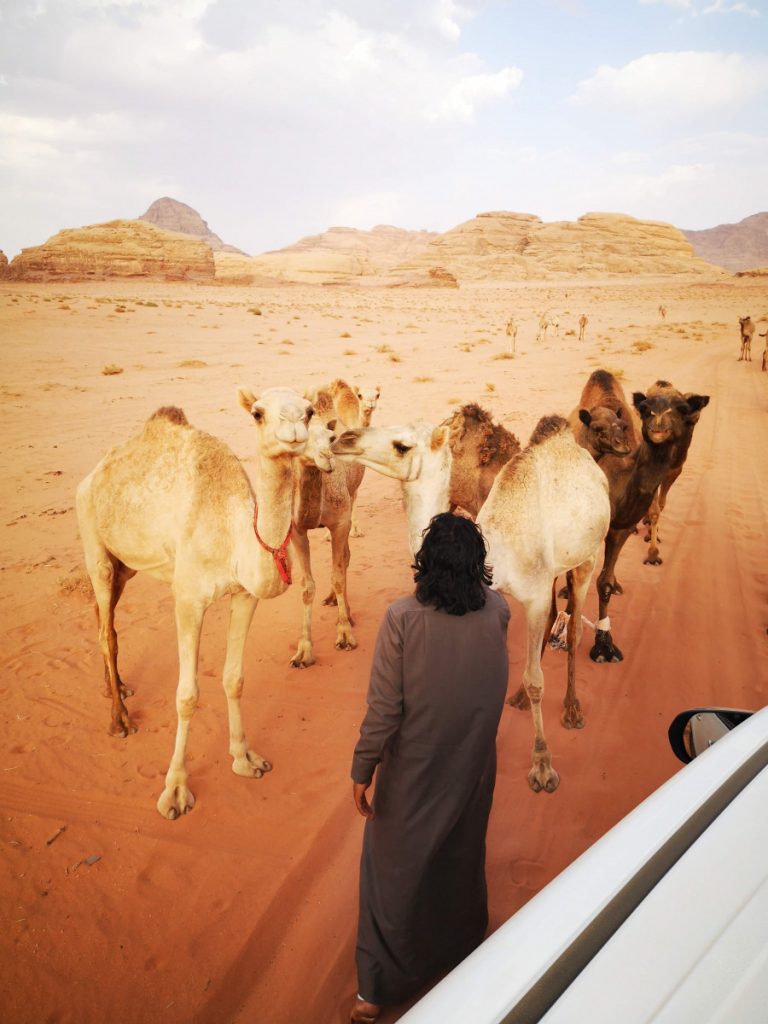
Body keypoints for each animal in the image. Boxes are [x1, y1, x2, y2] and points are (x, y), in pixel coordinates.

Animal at [77, 387, 315, 819]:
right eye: (257, 413)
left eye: (310, 410)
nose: (293, 430)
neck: (233, 531)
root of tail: (91, 476)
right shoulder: (188, 599)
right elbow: (186, 697)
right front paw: (174, 791)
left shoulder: (244, 595)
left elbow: (234, 679)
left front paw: (244, 759)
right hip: (93, 541)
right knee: (106, 630)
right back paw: (119, 721)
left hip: (125, 565)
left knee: (105, 618)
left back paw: (115, 687)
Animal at [290, 387, 364, 667]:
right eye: (300, 439)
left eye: (331, 437)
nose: (328, 456)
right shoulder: (296, 530)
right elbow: (307, 586)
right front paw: (303, 651)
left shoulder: (341, 522)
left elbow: (339, 573)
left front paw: (345, 634)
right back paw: (333, 600)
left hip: (352, 496)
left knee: (344, 560)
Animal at [638, 380, 712, 569]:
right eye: (647, 408)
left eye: (683, 409)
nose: (658, 424)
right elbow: (655, 510)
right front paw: (653, 554)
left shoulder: (675, 470)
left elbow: (661, 505)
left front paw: (653, 534)